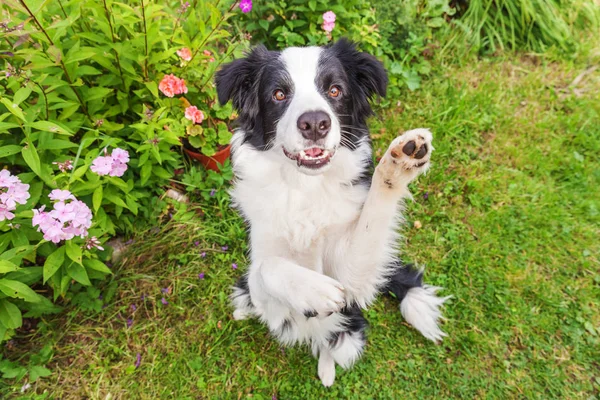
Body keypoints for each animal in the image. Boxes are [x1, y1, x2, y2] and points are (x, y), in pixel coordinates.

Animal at [214, 39, 446, 386]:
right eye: (278, 94)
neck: (305, 189)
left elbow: (374, 215)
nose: (314, 123)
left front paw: (400, 162)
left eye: (334, 90)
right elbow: (267, 267)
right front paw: (315, 291)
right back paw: (244, 310)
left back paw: (326, 369)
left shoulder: (352, 275)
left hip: (349, 336)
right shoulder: (265, 281)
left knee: (330, 345)